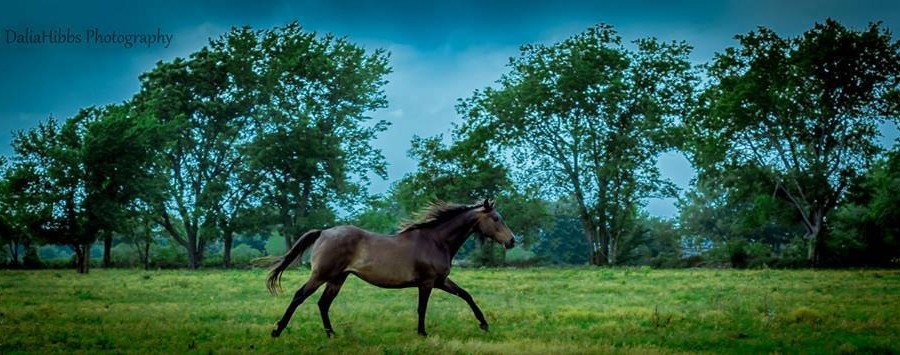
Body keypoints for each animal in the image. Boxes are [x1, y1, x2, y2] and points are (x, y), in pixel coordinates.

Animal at [268, 199, 516, 338]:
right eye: (496, 218)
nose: (512, 241)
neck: (436, 241)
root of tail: (323, 232)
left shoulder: (441, 281)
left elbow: (466, 295)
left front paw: (484, 324)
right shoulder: (427, 283)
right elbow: (422, 308)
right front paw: (422, 333)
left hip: (337, 278)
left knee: (323, 303)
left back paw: (332, 334)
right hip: (321, 275)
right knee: (300, 296)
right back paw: (277, 331)